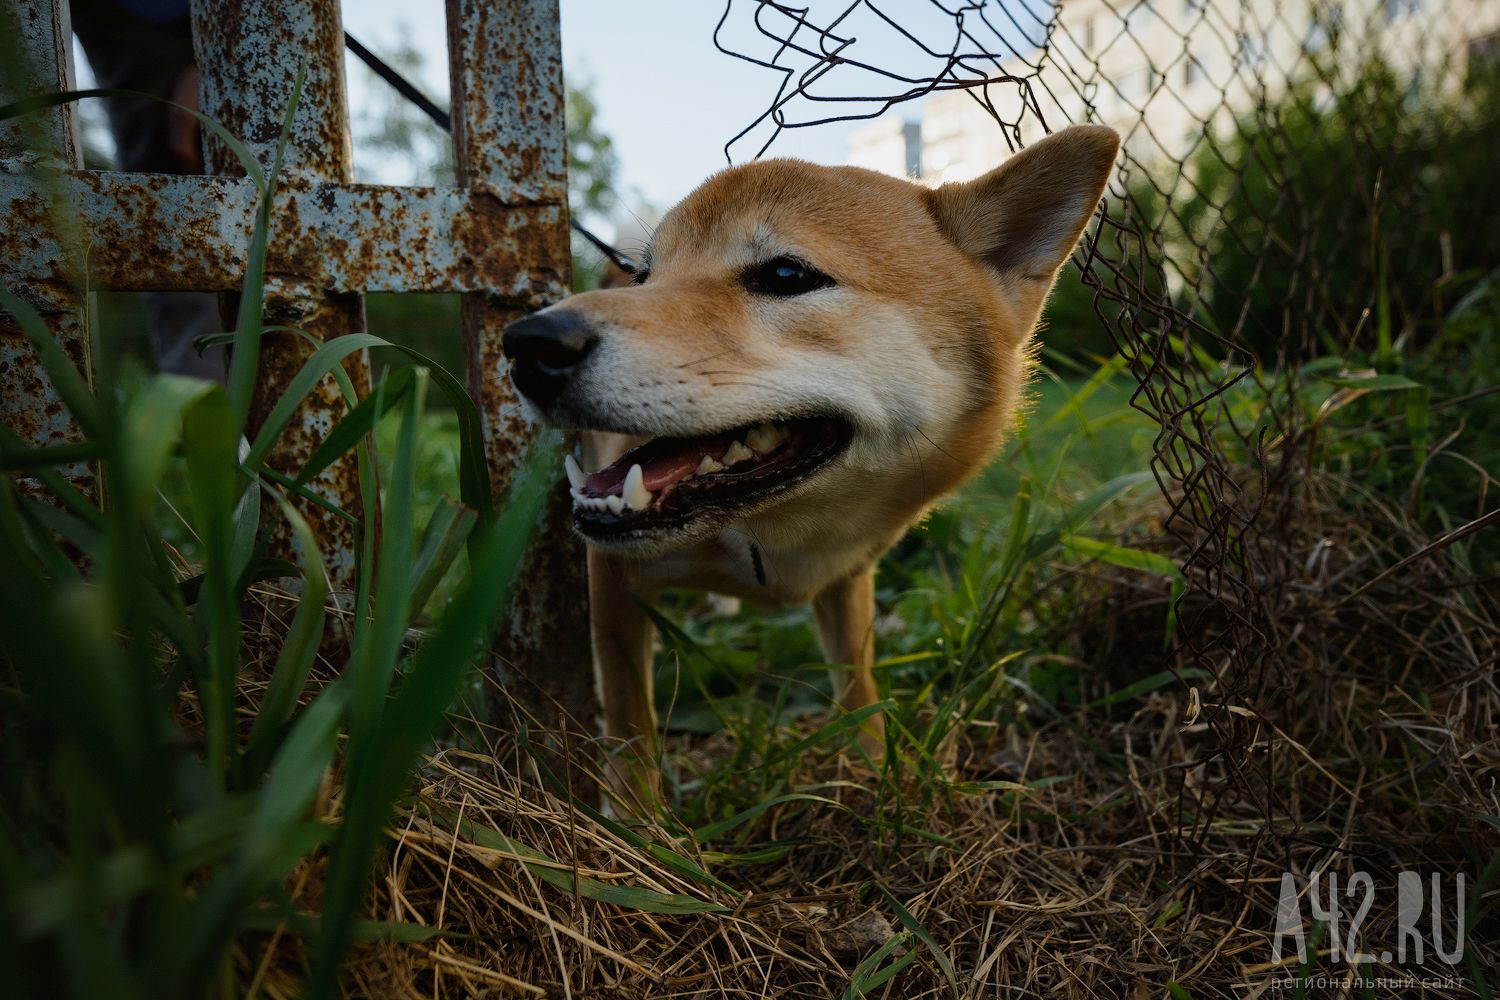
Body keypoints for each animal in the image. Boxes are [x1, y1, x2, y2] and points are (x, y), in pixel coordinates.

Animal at [501, 125, 1116, 803]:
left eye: (786, 273)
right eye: (645, 277)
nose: (528, 344)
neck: (776, 539)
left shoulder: (849, 576)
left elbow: (859, 682)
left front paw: (873, 771)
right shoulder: (612, 578)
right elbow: (630, 721)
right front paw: (637, 822)